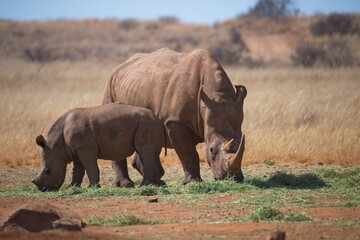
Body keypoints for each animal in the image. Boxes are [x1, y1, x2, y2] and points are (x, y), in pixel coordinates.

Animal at [31, 103, 165, 191]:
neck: (56, 146)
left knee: (145, 152)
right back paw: (156, 185)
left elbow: (91, 167)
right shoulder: (76, 149)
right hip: (147, 124)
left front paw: (93, 187)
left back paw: (144, 186)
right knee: (149, 154)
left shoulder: (85, 148)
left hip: (146, 124)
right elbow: (78, 170)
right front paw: (72, 187)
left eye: (47, 171)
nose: (43, 189)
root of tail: (158, 119)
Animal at [102, 47, 246, 186]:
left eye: (243, 147)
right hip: (110, 84)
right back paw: (124, 185)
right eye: (211, 150)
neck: (216, 95)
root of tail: (121, 65)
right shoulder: (176, 122)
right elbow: (188, 152)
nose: (232, 178)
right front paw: (193, 182)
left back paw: (156, 183)